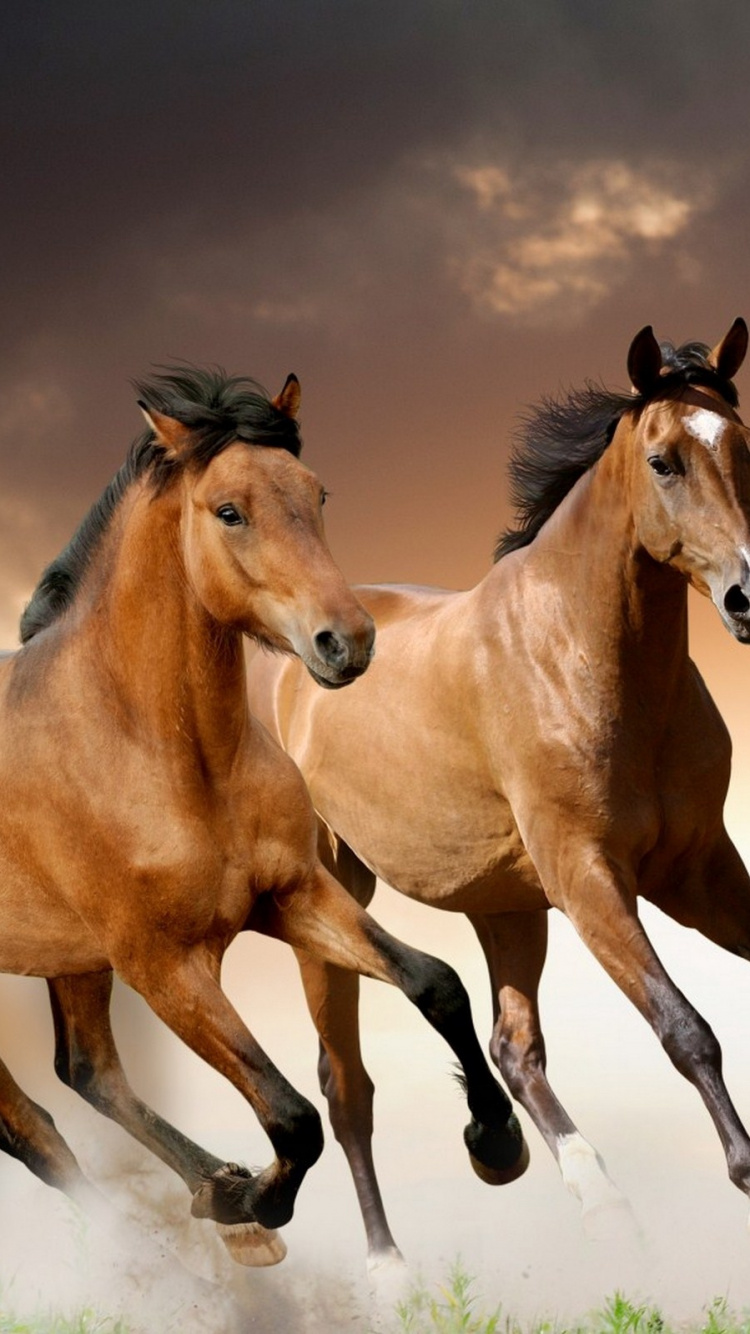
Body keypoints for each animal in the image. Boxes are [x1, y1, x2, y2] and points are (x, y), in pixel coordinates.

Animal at [0, 366, 526, 1270]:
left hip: (69, 957)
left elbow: (436, 984)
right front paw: (255, 1199)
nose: (347, 642)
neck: (155, 749)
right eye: (229, 511)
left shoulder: (293, 895)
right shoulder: (167, 966)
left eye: (318, 494)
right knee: (31, 1125)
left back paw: (212, 1194)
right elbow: (293, 1115)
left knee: (88, 1072)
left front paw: (495, 1141)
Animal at [246, 319, 750, 1263]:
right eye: (663, 461)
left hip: (505, 903)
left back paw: (568, 1183)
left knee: (512, 1049)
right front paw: (747, 1170)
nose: (748, 596)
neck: (584, 655)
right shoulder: (590, 879)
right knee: (348, 1087)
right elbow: (685, 1028)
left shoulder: (699, 872)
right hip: (329, 898)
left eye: (745, 446)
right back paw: (391, 1270)